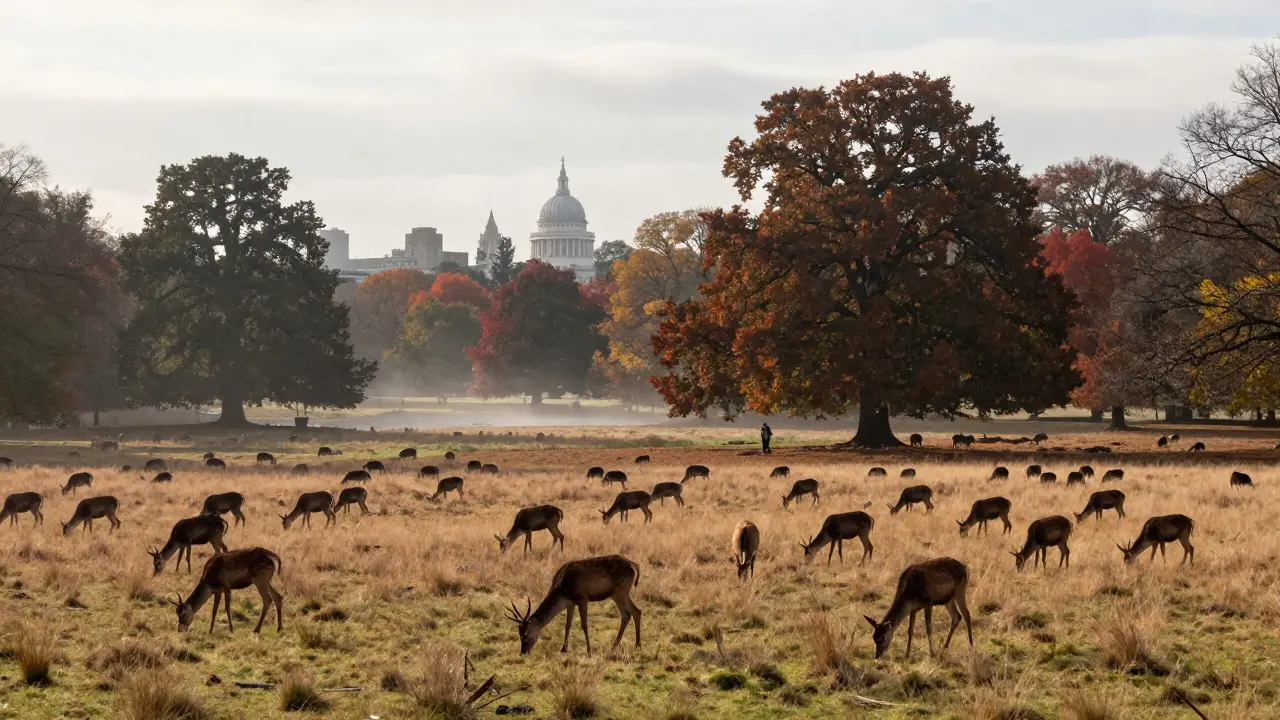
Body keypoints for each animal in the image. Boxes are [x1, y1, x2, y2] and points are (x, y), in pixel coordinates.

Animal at [504, 555, 641, 656]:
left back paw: (636, 645)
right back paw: (616, 646)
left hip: (621, 590)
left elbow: (584, 625)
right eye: (519, 634)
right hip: (616, 593)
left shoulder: (582, 598)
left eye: (525, 635)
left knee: (634, 611)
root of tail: (634, 565)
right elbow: (567, 625)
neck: (563, 592)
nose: (522, 652)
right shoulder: (570, 604)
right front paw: (563, 649)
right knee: (629, 614)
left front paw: (589, 651)